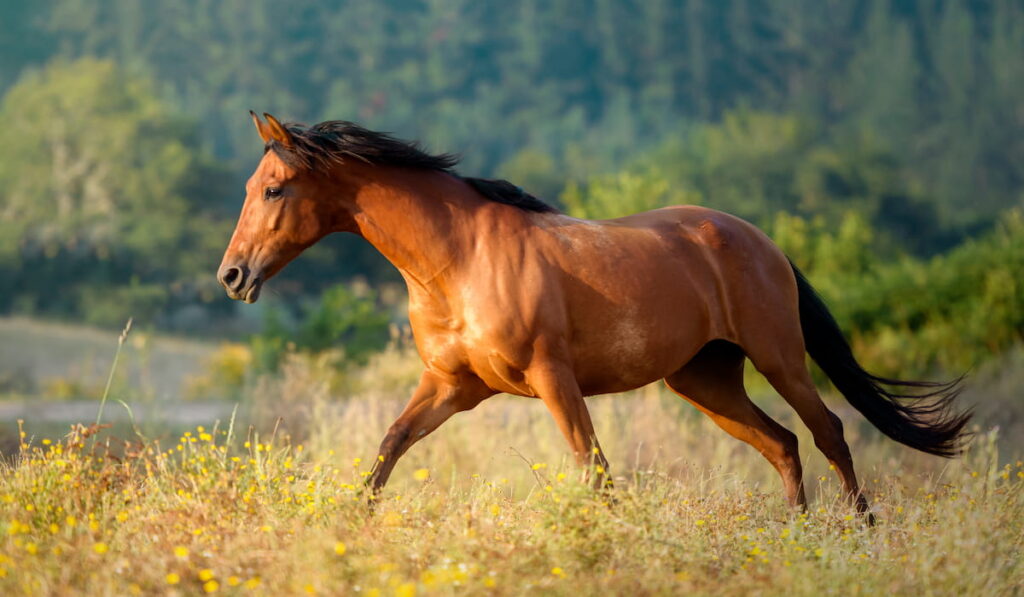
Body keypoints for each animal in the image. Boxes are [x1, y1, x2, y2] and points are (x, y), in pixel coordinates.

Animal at [216, 114, 966, 516]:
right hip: (705, 379)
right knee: (782, 444)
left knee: (829, 432)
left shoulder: (553, 377)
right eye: (249, 185)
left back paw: (858, 533)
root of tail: (763, 241)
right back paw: (798, 534)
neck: (458, 258)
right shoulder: (453, 386)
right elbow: (388, 448)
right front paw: (353, 522)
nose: (232, 276)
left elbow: (592, 469)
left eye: (275, 189)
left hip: (780, 357)